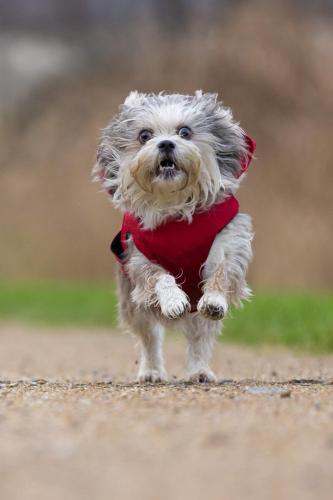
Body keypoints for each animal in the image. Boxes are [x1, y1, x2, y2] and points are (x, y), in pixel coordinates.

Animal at [93, 91, 254, 382]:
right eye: (145, 135)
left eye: (185, 132)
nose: (166, 143)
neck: (173, 205)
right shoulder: (139, 258)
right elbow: (160, 277)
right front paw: (173, 301)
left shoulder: (229, 242)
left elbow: (221, 273)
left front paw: (215, 299)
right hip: (133, 305)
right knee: (149, 338)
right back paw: (151, 371)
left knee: (200, 338)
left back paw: (199, 370)